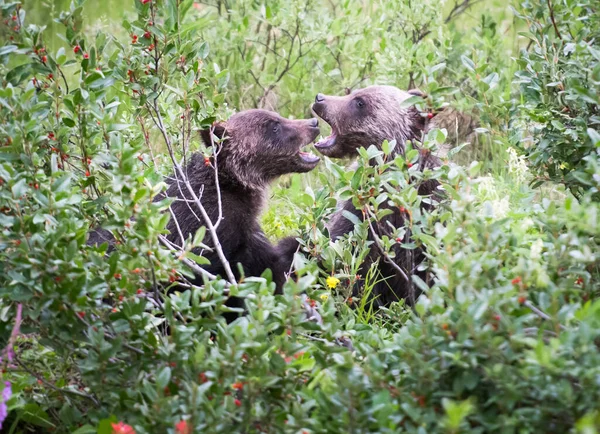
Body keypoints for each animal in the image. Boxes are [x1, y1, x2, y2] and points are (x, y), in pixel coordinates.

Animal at [88, 109, 318, 316]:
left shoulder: (247, 237)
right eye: (274, 126)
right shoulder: (208, 235)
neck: (233, 186)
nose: (313, 123)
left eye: (278, 116)